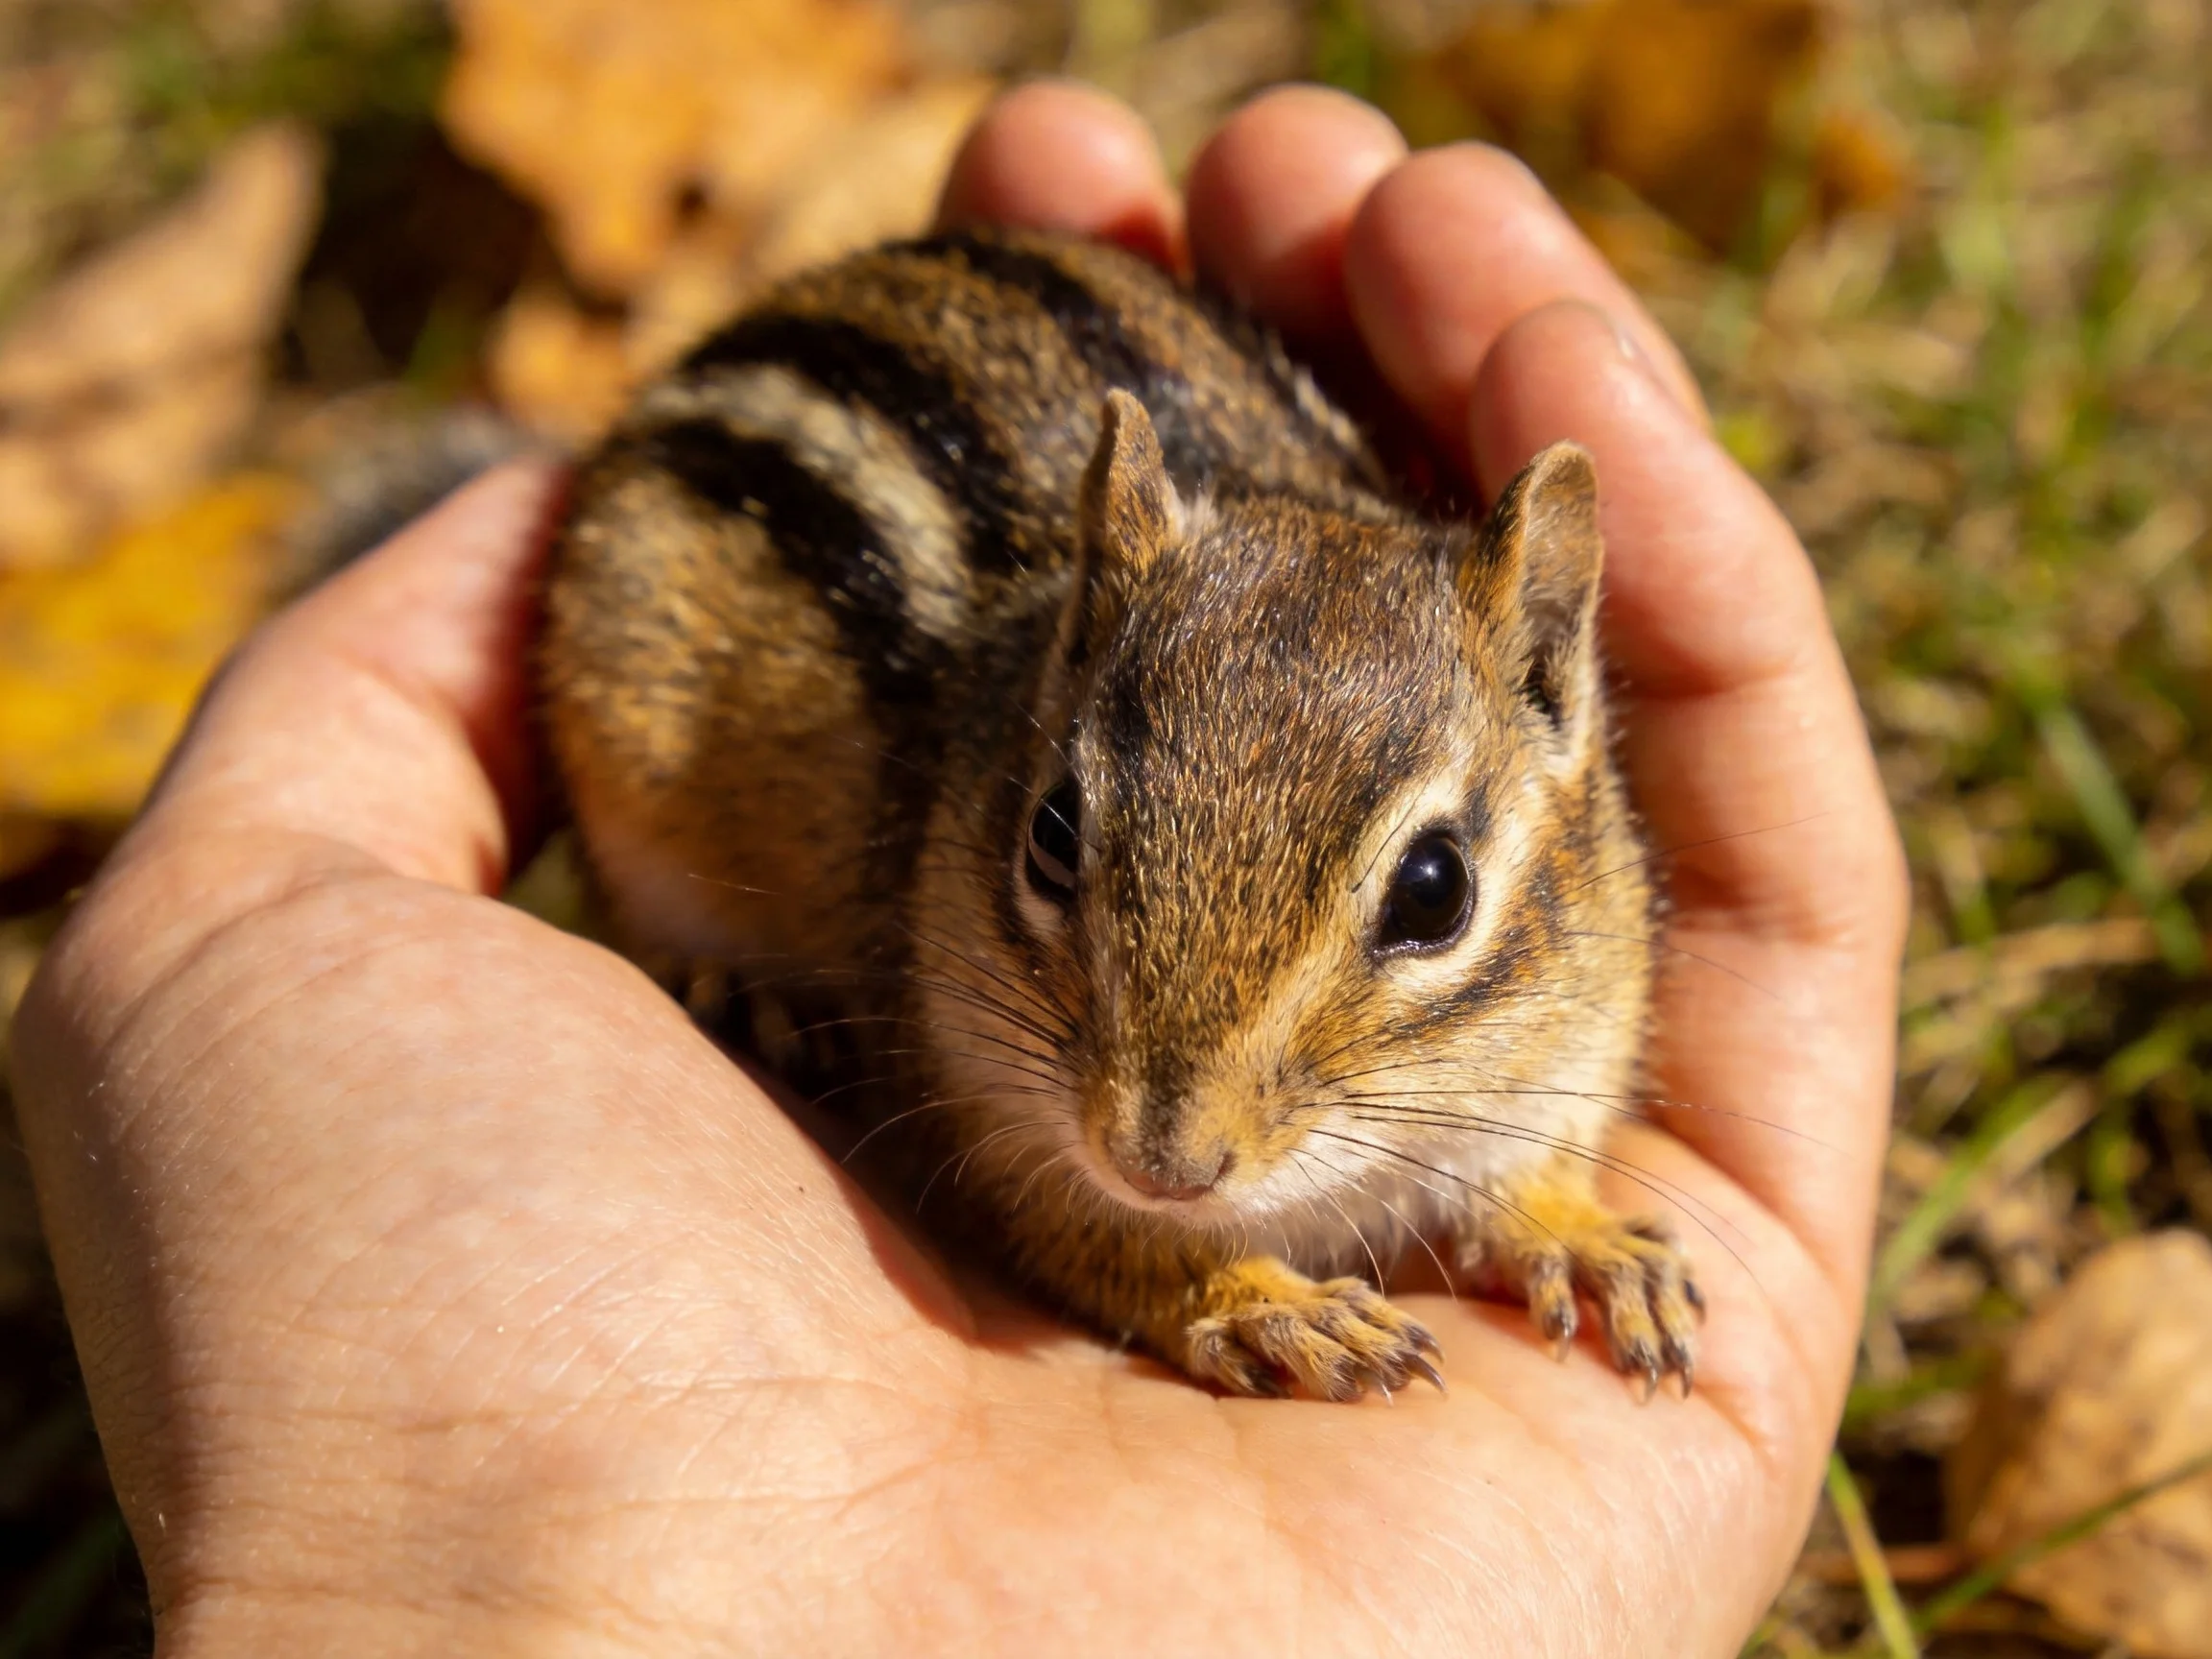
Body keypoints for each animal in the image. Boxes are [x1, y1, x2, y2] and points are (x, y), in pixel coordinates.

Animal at [537, 225, 1701, 1403]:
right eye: (1052, 834)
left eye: (1435, 891)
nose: (1160, 1164)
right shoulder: (987, 1115)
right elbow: (1114, 1252)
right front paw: (1267, 1308)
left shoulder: (1570, 1054)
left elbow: (1536, 1171)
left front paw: (1586, 1241)